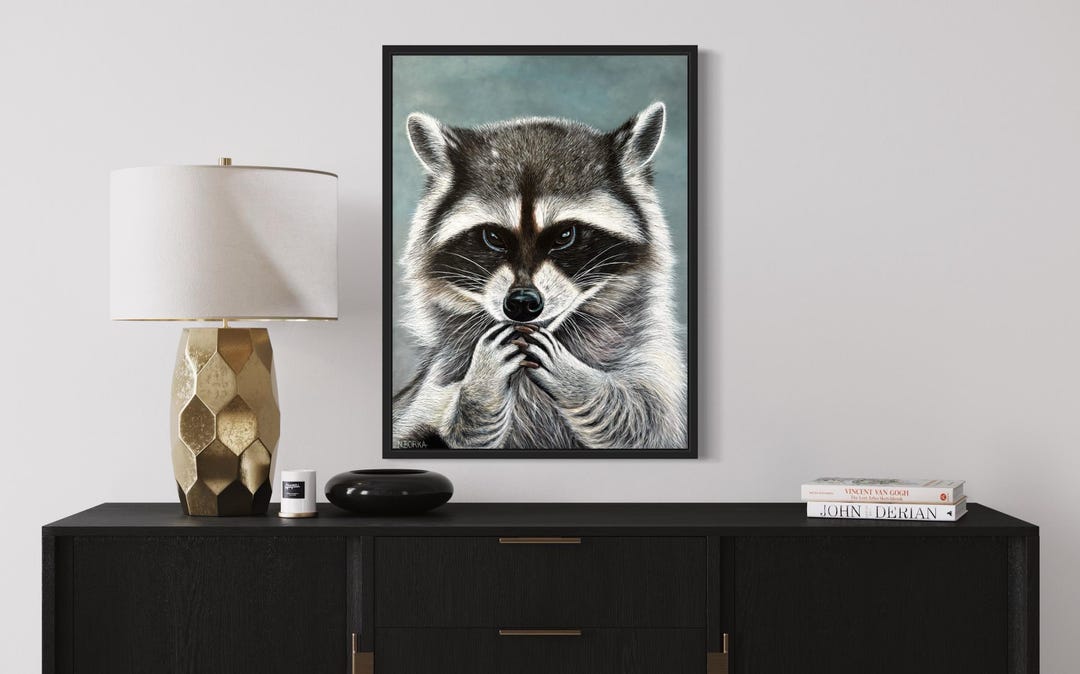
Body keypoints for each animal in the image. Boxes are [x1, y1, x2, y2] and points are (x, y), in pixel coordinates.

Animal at [392, 102, 687, 449]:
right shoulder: (434, 383)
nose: (521, 302)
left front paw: (576, 379)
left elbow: (644, 420)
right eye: (493, 237)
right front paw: (480, 389)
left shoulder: (654, 363)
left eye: (565, 235)